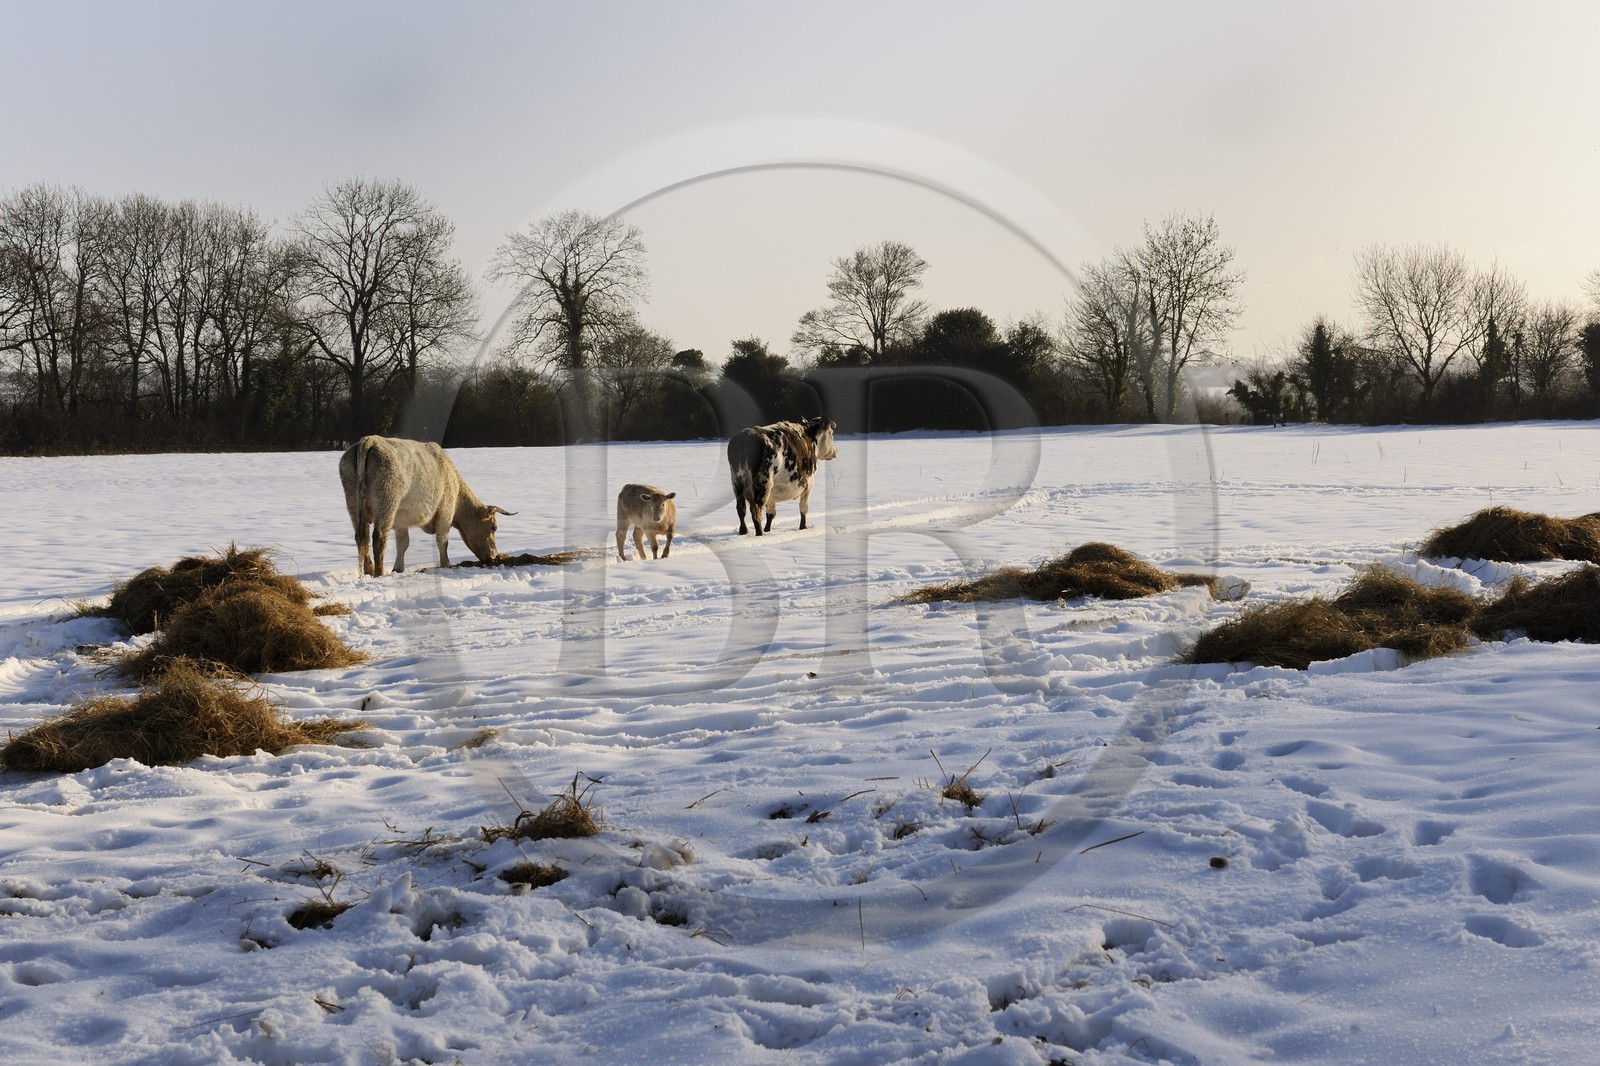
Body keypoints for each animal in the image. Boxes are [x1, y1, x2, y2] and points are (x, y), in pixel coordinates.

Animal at [338, 435, 516, 576]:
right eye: (493, 527)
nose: (493, 556)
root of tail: (369, 440)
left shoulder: (401, 519)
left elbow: (403, 543)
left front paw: (398, 568)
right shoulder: (445, 511)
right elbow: (442, 540)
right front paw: (446, 564)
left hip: (353, 503)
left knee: (362, 536)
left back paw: (369, 569)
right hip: (387, 502)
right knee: (378, 537)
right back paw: (378, 572)